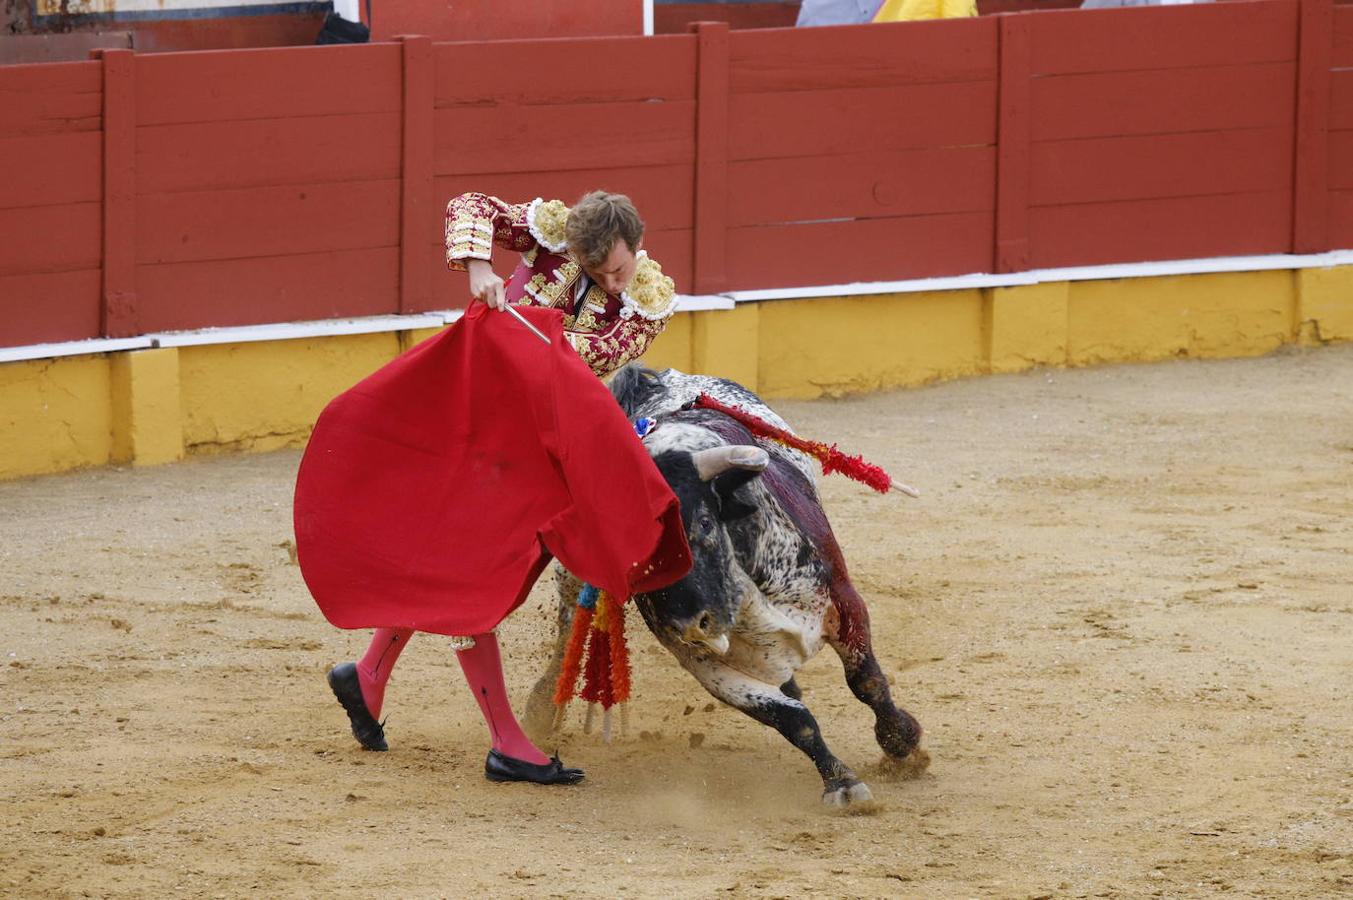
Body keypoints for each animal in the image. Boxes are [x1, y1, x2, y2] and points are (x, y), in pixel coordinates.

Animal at [527, 365, 930, 806]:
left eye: (704, 522)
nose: (692, 625)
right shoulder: (703, 663)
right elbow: (791, 718)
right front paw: (841, 782)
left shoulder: (843, 603)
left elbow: (866, 682)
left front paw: (901, 741)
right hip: (572, 578)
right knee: (569, 622)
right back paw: (541, 708)